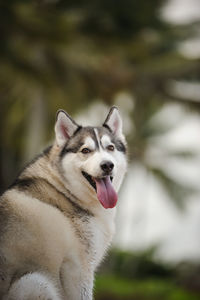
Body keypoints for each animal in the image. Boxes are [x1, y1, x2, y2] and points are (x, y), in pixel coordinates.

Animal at [0, 106, 127, 298]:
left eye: (110, 147)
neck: (65, 189)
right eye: (85, 150)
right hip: (36, 281)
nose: (107, 165)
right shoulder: (78, 269)